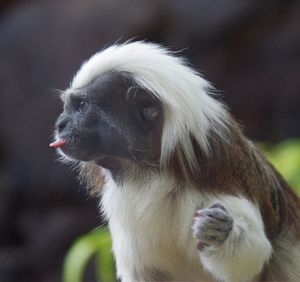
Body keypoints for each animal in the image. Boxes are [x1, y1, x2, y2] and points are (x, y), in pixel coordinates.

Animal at [50, 41, 300, 282]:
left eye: (82, 106)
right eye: (67, 108)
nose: (60, 124)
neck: (151, 173)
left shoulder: (217, 176)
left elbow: (253, 259)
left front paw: (221, 234)